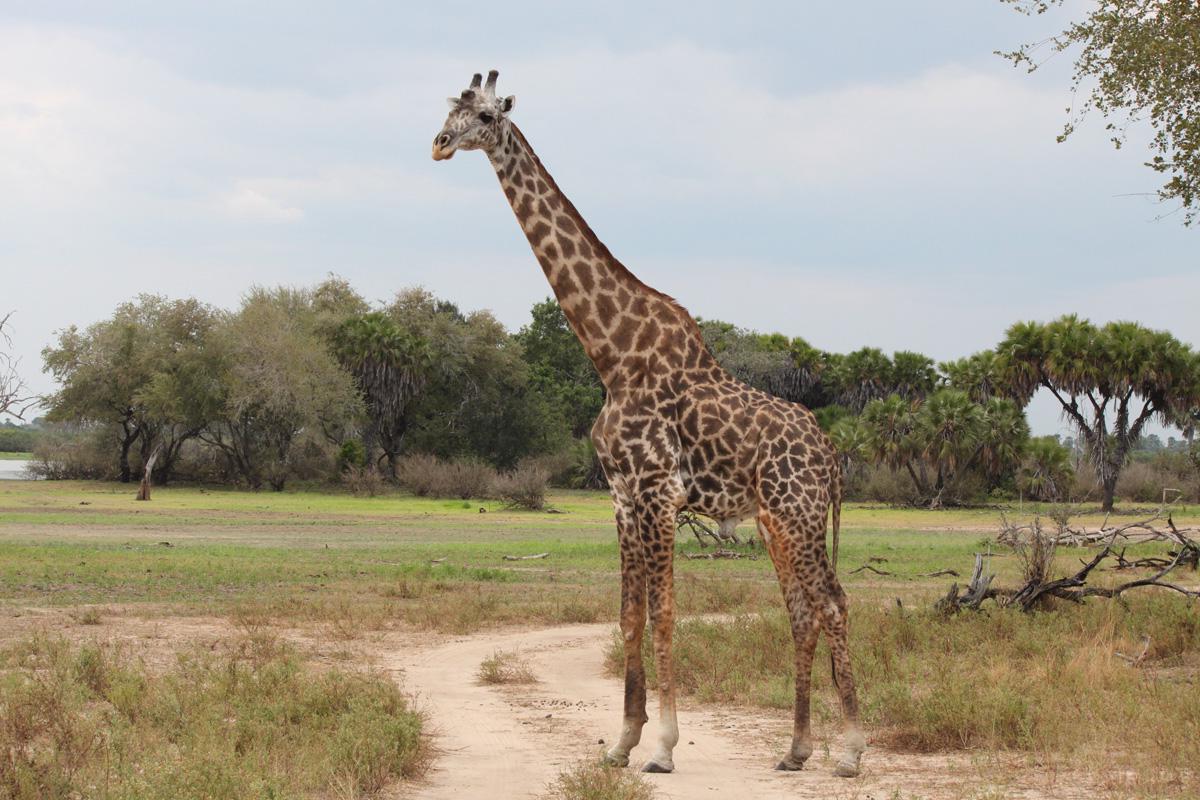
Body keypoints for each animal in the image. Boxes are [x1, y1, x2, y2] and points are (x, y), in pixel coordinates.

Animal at [432, 70, 865, 778]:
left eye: (488, 115)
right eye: (451, 108)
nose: (440, 144)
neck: (611, 354)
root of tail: (830, 453)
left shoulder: (660, 491)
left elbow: (664, 614)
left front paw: (662, 747)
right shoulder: (622, 495)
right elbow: (629, 616)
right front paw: (621, 742)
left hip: (798, 513)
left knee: (832, 602)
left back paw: (851, 752)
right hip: (776, 523)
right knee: (803, 611)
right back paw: (796, 750)